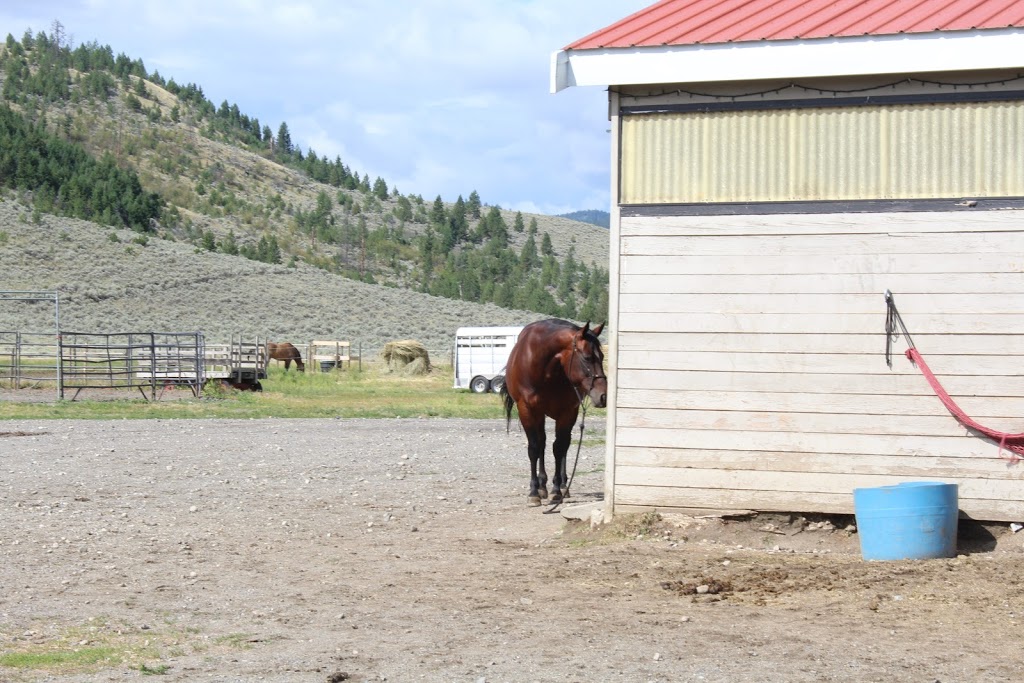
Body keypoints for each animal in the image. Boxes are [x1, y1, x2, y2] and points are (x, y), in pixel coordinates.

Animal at [499, 321, 602, 507]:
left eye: (603, 357)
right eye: (587, 357)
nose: (603, 396)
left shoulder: (567, 411)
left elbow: (559, 448)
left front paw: (556, 490)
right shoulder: (527, 410)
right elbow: (534, 447)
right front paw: (534, 491)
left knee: (564, 445)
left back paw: (563, 485)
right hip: (539, 414)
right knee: (542, 442)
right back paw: (542, 486)